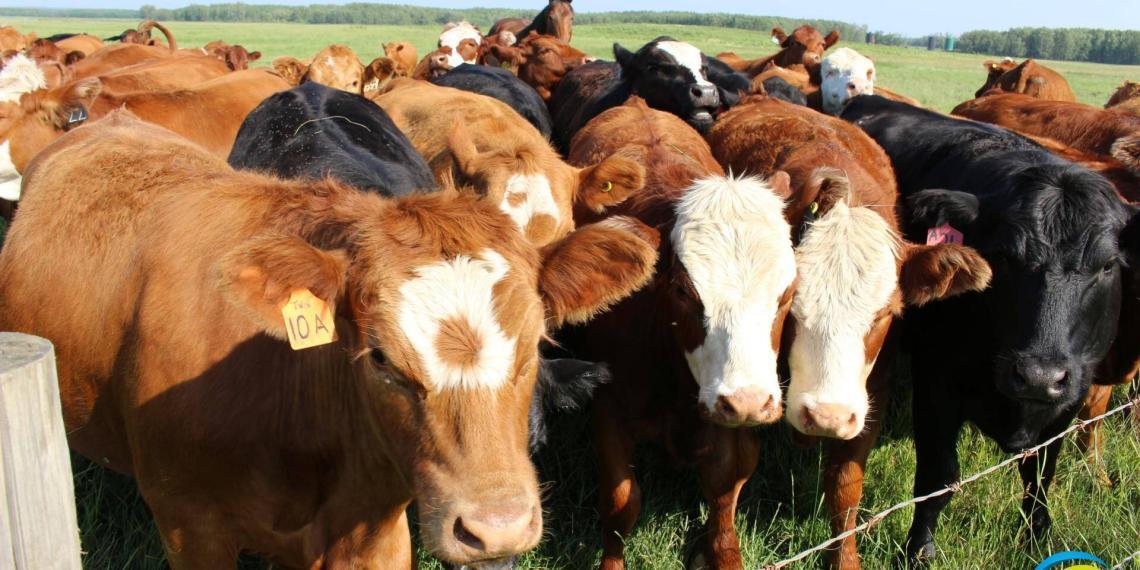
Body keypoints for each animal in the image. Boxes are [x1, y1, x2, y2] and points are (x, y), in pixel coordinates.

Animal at [565, 97, 795, 569]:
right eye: (683, 291)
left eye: (787, 292)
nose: (748, 401)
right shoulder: (608, 406)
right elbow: (621, 503)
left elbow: (724, 503)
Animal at [709, 95, 991, 570]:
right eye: (791, 306)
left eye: (885, 314)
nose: (827, 417)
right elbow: (730, 470)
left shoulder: (869, 395)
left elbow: (845, 486)